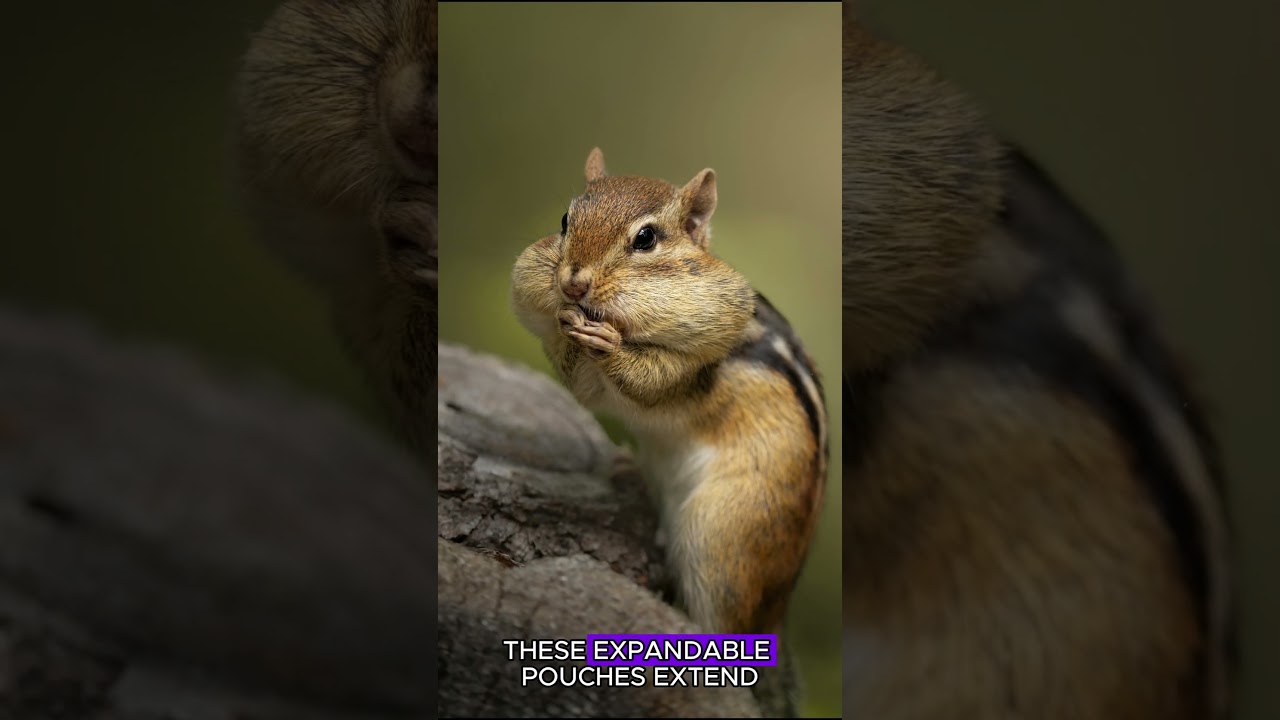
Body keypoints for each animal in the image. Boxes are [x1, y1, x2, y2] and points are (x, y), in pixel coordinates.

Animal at [511, 148, 829, 714]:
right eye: (566, 220)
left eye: (646, 239)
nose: (572, 284)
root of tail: (778, 611)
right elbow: (580, 384)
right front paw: (572, 328)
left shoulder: (702, 362)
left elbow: (653, 383)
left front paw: (609, 345)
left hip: (723, 536)